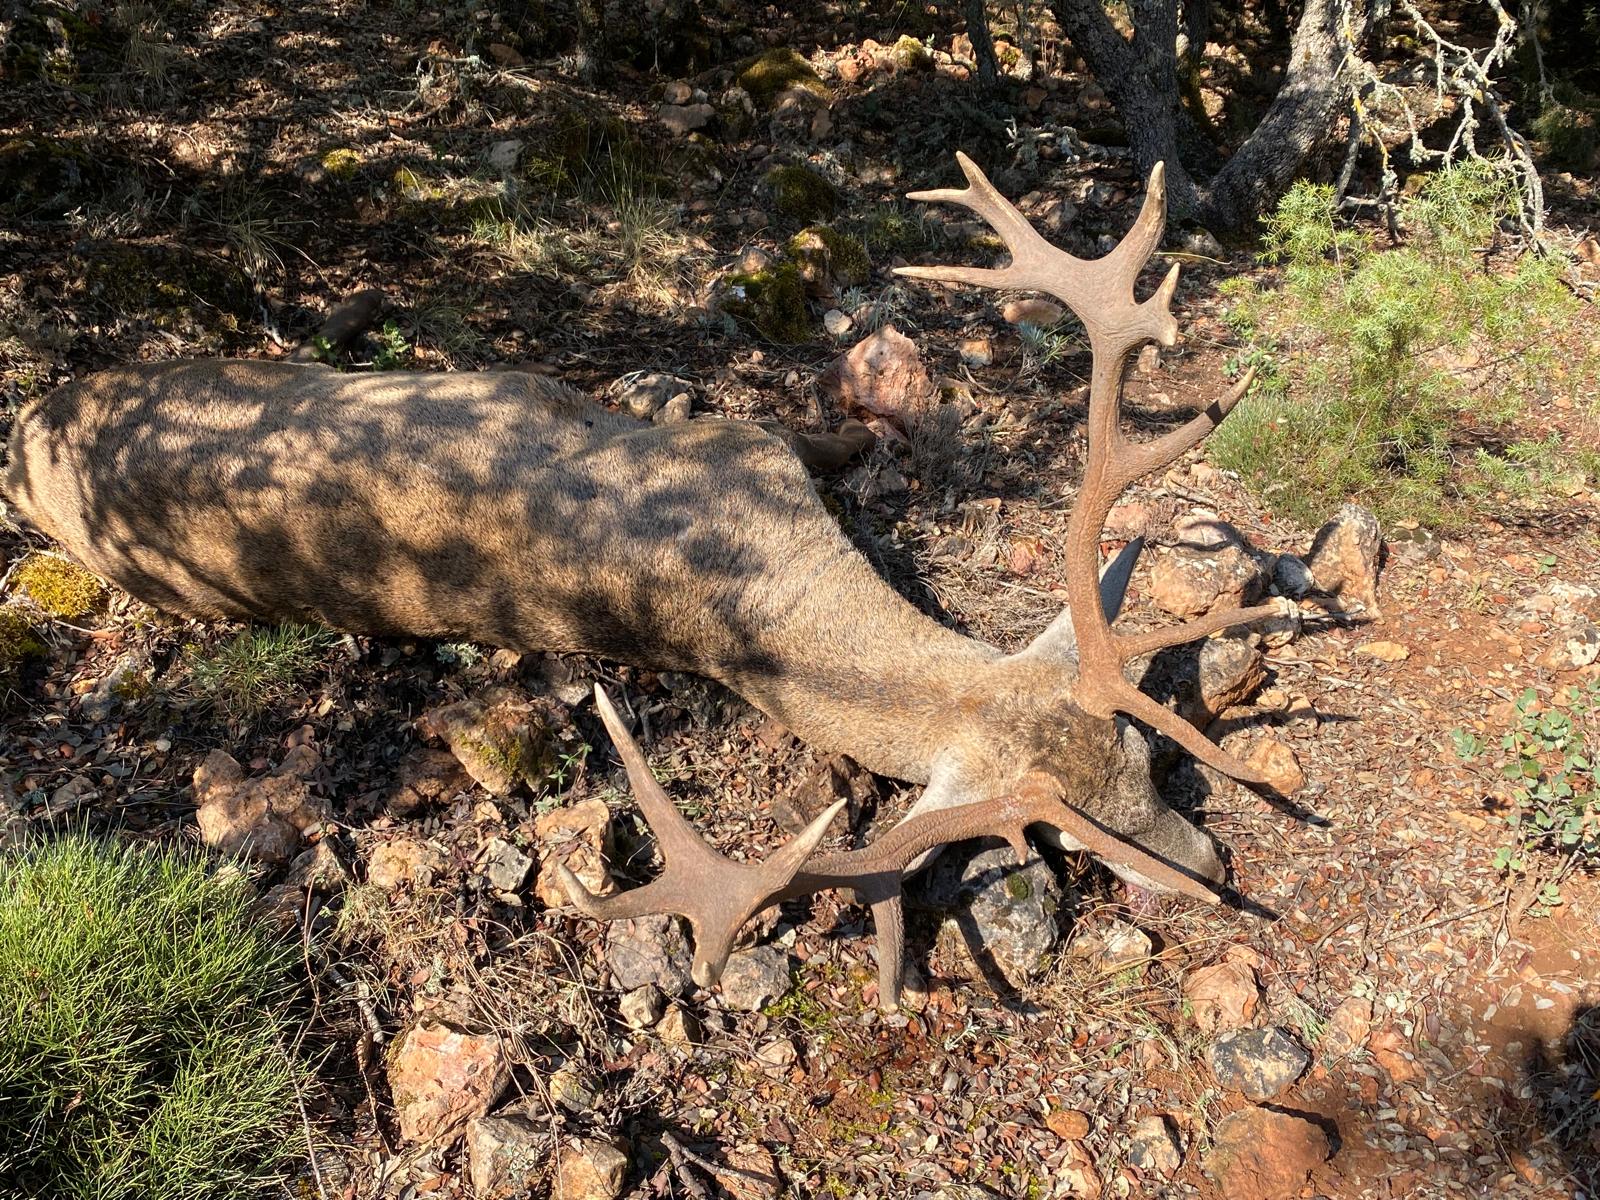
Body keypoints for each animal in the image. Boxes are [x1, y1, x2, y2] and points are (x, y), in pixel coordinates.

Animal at [4, 153, 1296, 1009]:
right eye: (1072, 841)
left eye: (1142, 755)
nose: (1212, 870)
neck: (772, 586)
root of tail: (29, 425)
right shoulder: (733, 437)